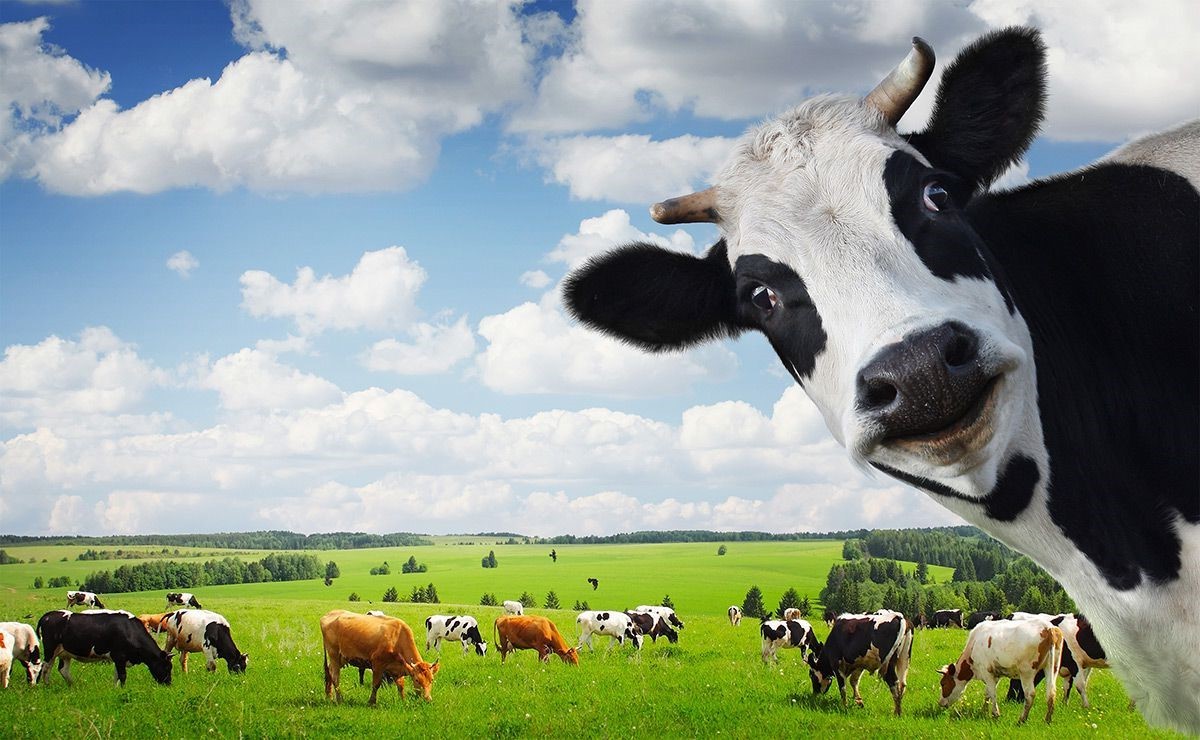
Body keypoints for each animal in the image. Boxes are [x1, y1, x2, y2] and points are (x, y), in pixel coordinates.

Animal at [36, 610, 171, 686]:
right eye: (166, 667)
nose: (168, 683)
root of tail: (47, 615)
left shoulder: (119, 659)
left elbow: (116, 676)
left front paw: (115, 689)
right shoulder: (119, 656)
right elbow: (122, 676)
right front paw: (123, 689)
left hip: (65, 653)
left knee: (62, 669)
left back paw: (72, 685)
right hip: (50, 650)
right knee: (44, 668)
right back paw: (45, 686)